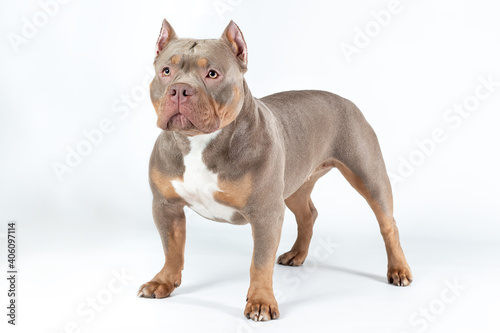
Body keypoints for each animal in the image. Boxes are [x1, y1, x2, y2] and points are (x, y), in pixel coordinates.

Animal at [139, 19, 412, 320]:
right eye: (166, 71)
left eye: (212, 74)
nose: (180, 90)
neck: (199, 142)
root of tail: (346, 100)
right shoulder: (166, 206)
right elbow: (171, 249)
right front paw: (163, 282)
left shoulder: (265, 213)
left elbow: (260, 262)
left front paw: (260, 302)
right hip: (294, 186)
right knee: (308, 215)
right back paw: (297, 254)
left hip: (368, 176)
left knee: (387, 224)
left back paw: (398, 270)